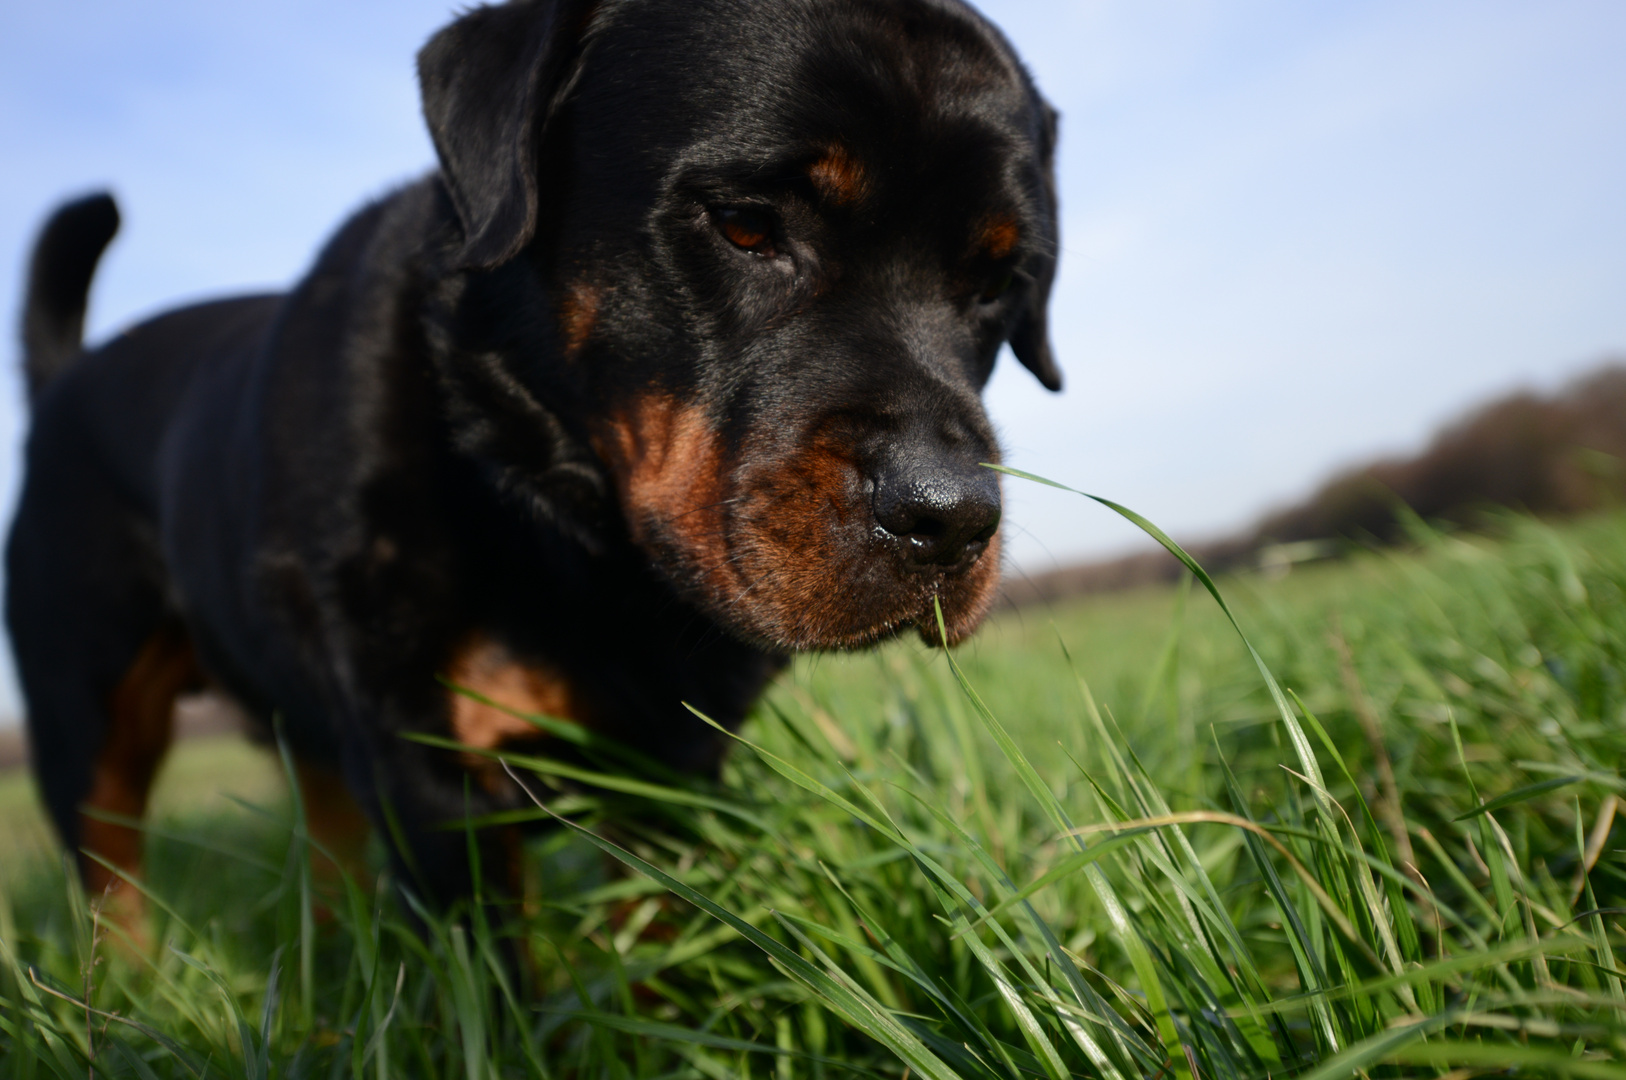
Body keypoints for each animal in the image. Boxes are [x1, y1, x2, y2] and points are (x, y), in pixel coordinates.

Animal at [9, 0, 1053, 930]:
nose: (948, 515)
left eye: (1000, 284)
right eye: (746, 225)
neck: (554, 509)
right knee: (112, 887)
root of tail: (67, 376)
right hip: (82, 708)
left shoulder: (674, 768)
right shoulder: (429, 768)